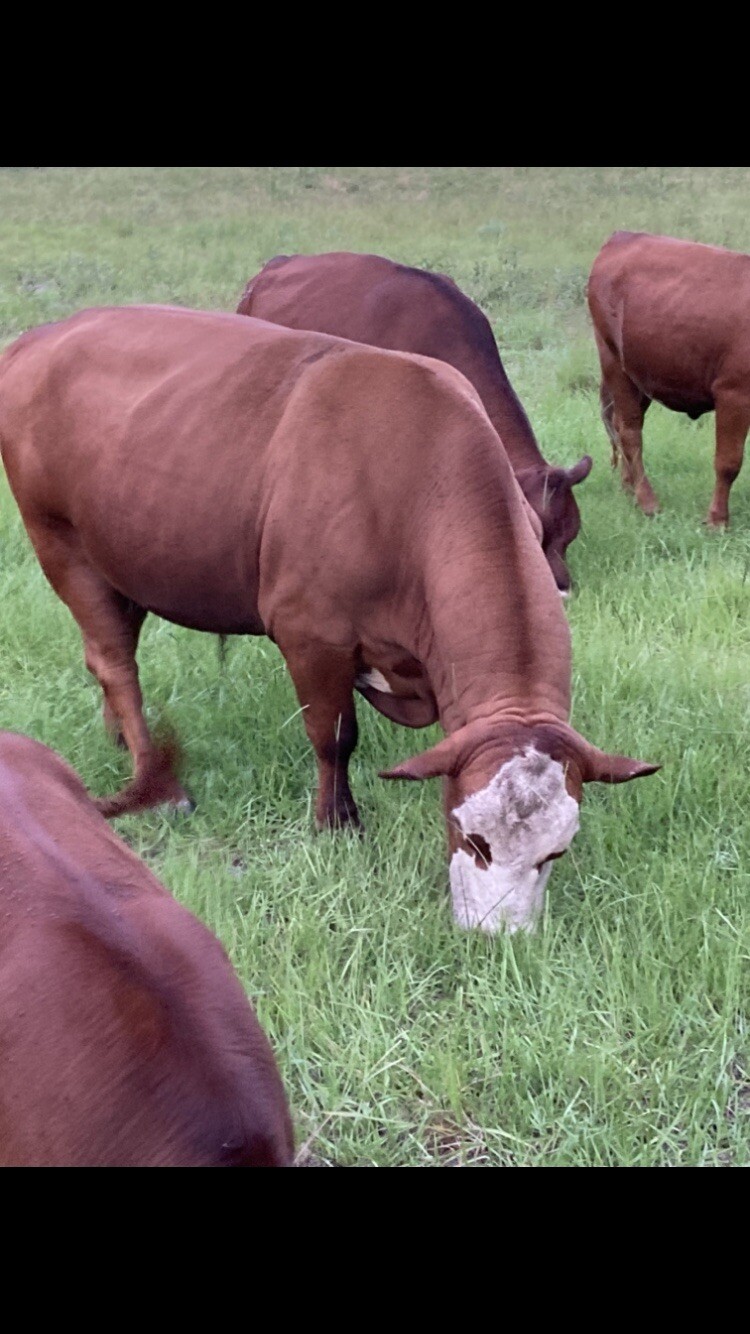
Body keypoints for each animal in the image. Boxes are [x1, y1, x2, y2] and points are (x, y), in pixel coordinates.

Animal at [0, 307, 658, 935]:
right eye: (471, 837)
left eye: (557, 852)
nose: (499, 937)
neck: (412, 490)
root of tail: (40, 338)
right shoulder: (311, 635)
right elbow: (334, 736)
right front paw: (336, 824)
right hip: (60, 542)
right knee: (113, 660)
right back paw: (157, 782)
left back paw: (117, 735)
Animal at [589, 230, 750, 527]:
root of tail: (622, 237)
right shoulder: (734, 392)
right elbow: (728, 462)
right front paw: (717, 520)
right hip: (615, 363)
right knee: (630, 433)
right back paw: (648, 503)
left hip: (639, 376)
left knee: (619, 425)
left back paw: (629, 488)